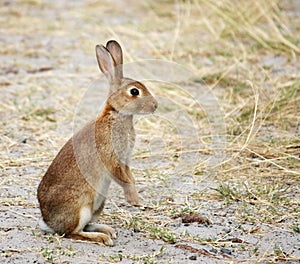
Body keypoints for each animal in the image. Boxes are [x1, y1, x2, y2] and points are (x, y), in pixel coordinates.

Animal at [37, 39, 158, 245]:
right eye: (134, 92)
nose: (155, 106)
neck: (116, 114)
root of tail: (49, 222)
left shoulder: (124, 160)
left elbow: (129, 176)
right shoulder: (110, 157)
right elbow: (123, 179)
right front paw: (134, 200)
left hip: (98, 205)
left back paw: (108, 231)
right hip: (82, 206)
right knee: (73, 232)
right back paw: (103, 237)